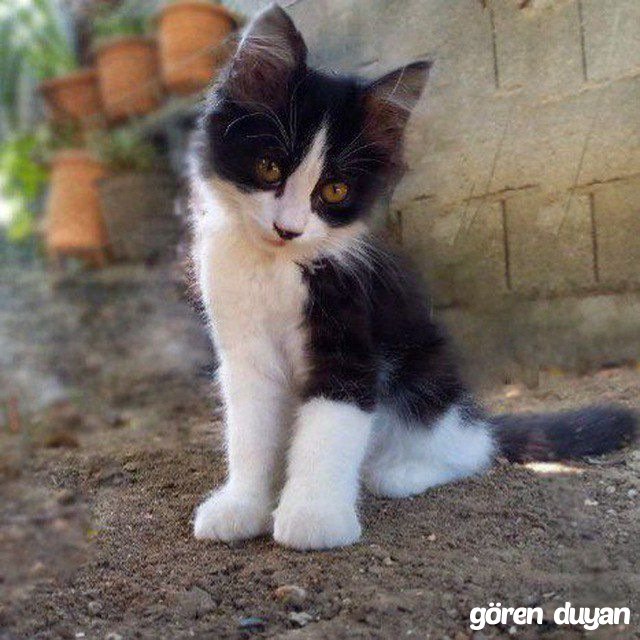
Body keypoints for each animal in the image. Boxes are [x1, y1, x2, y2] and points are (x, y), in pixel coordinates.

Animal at [188, 4, 637, 550]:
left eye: (334, 190)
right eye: (270, 167)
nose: (287, 229)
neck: (276, 269)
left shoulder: (353, 338)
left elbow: (327, 431)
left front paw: (314, 516)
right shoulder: (245, 352)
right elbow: (249, 433)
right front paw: (242, 506)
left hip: (425, 375)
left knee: (469, 451)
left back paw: (398, 471)